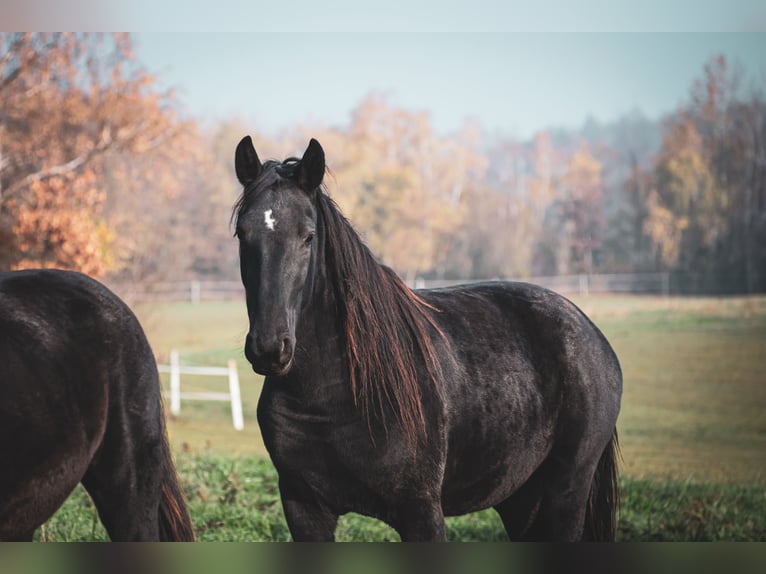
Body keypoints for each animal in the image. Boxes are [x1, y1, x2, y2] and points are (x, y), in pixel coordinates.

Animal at [234, 137, 624, 544]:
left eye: (308, 236)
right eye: (242, 234)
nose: (269, 347)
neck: (336, 392)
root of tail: (589, 330)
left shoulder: (420, 511)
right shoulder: (304, 509)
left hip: (565, 494)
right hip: (521, 501)